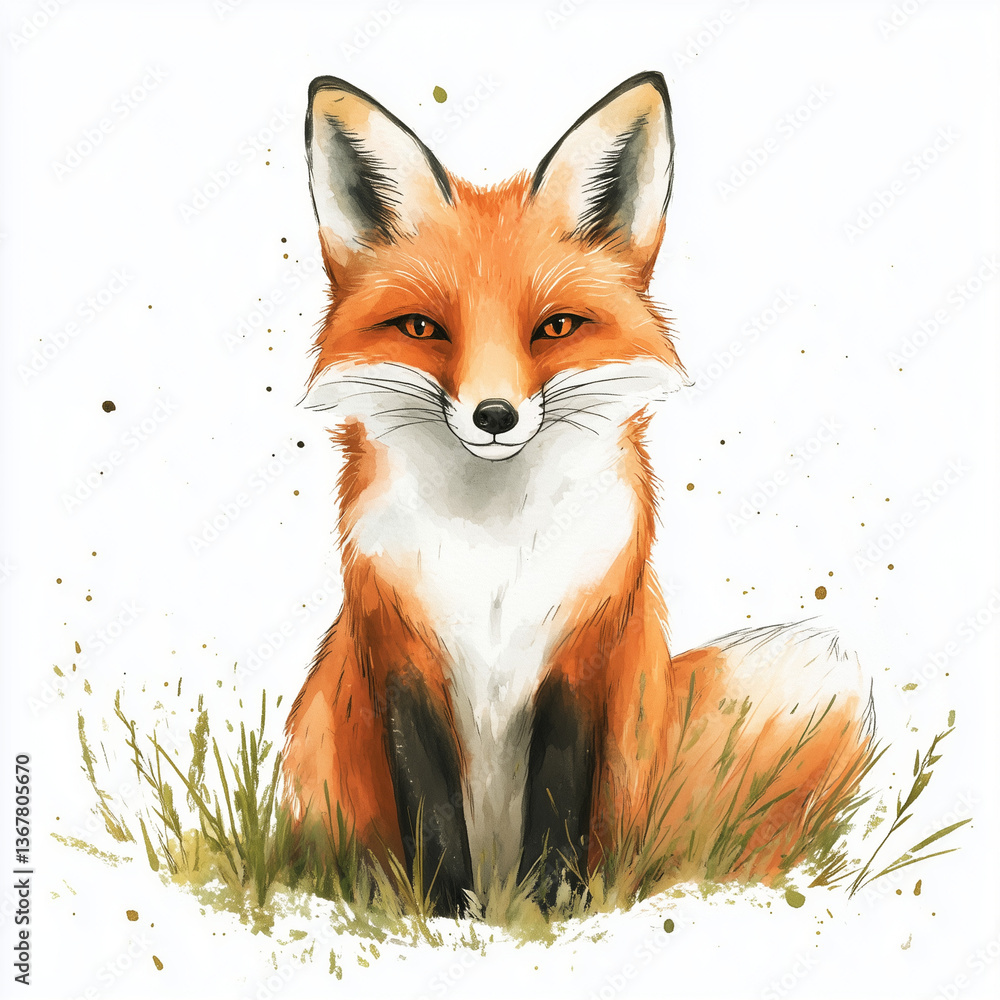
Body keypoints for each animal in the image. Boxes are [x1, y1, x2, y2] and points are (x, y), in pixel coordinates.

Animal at [282, 71, 874, 915]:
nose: (494, 416)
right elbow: (431, 815)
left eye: (555, 327)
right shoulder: (397, 654)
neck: (493, 547)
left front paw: (543, 914)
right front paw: (447, 918)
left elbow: (560, 806)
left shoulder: (585, 653)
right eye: (424, 328)